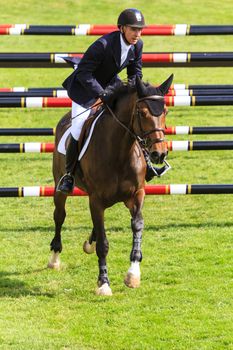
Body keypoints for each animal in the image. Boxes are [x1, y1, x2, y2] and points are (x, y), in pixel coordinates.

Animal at [48, 74, 173, 296]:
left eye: (165, 111)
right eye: (142, 113)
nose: (159, 154)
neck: (120, 151)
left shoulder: (137, 194)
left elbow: (137, 225)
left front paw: (133, 274)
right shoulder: (96, 200)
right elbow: (103, 244)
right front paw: (103, 283)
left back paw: (89, 242)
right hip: (59, 186)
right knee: (60, 216)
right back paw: (54, 258)